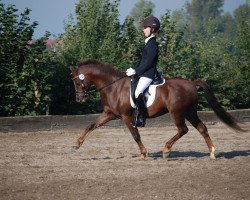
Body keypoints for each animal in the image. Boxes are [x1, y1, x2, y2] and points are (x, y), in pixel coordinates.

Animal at [70, 59, 242, 159]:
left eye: (77, 82)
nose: (80, 99)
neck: (113, 86)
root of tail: (191, 83)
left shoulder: (126, 117)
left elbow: (136, 136)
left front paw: (144, 153)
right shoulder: (109, 114)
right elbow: (91, 126)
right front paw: (76, 144)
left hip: (177, 112)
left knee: (183, 130)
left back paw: (166, 149)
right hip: (190, 112)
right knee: (202, 128)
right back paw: (212, 152)